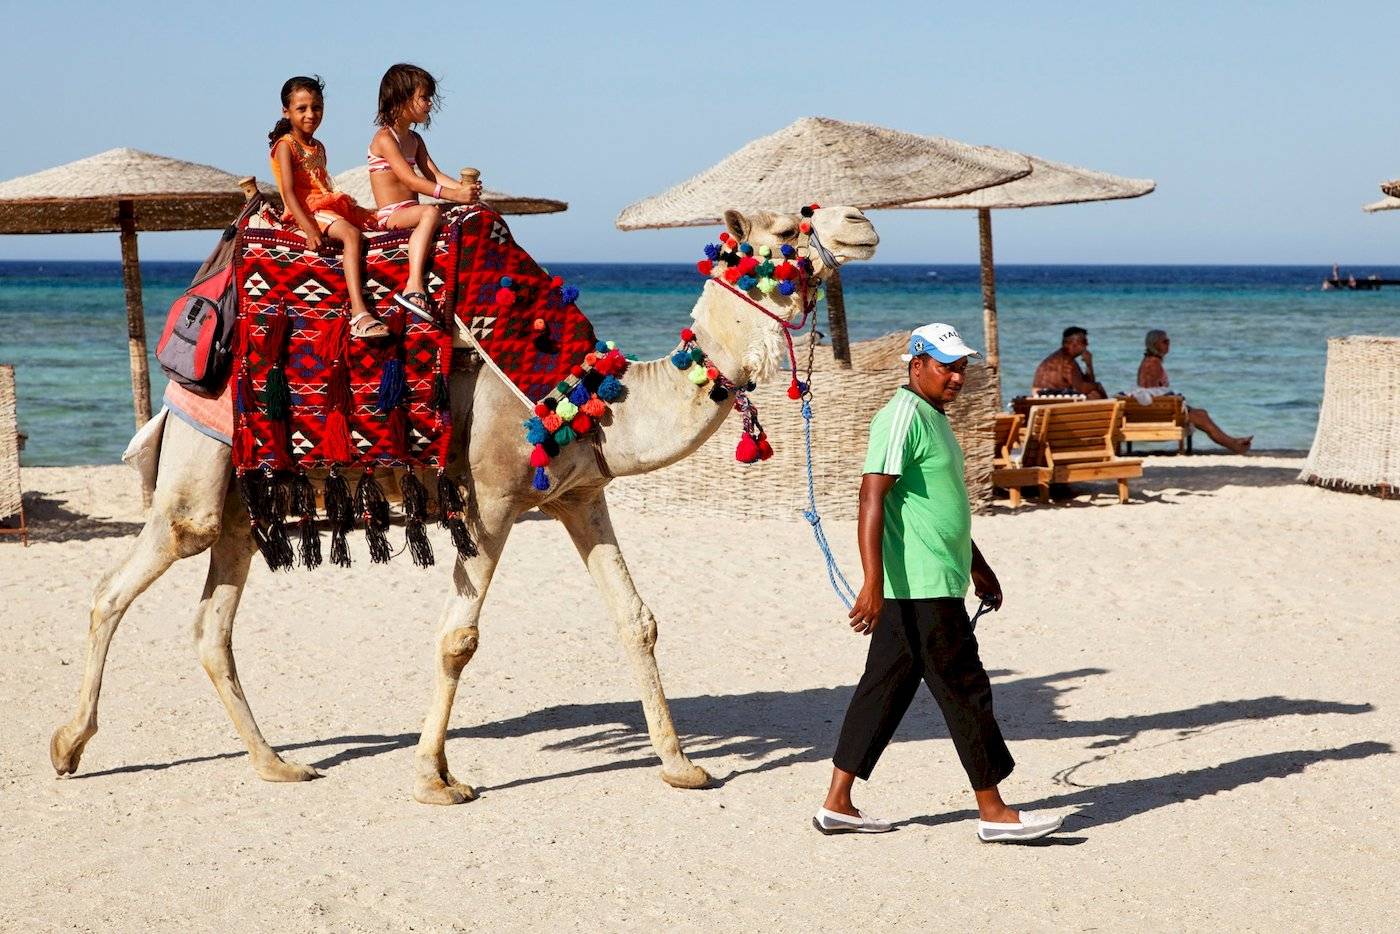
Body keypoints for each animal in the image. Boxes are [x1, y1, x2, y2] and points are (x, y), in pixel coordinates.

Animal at [50, 206, 879, 804]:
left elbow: (636, 620)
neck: (590, 398)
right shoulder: (491, 499)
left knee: (210, 629)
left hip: (243, 507)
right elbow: (459, 639)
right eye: (783, 232)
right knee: (114, 587)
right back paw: (67, 746)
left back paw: (278, 765)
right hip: (199, 471)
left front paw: (682, 768)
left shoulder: (582, 496)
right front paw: (435, 781)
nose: (860, 223)